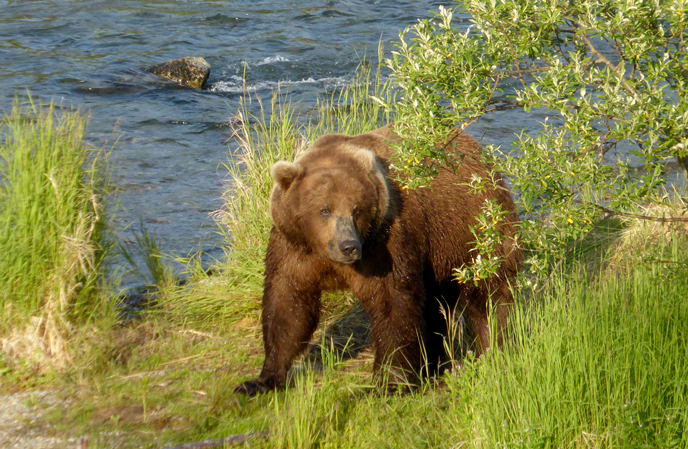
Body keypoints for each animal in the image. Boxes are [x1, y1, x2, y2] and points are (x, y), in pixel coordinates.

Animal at [236, 126, 520, 392]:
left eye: (356, 209)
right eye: (324, 210)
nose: (348, 246)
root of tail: (479, 151)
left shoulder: (384, 242)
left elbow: (391, 302)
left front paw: (390, 381)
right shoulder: (294, 247)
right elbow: (287, 302)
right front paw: (261, 380)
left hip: (472, 227)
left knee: (488, 294)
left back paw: (493, 350)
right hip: (438, 251)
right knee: (435, 303)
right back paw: (433, 362)